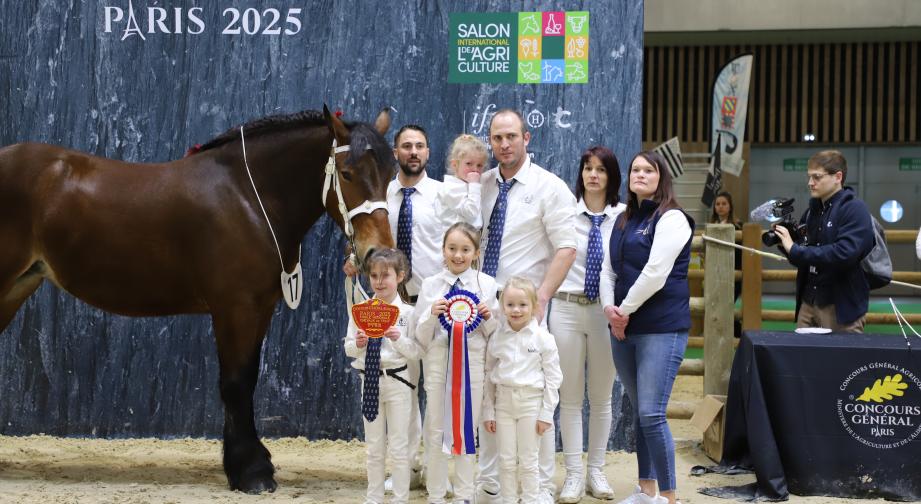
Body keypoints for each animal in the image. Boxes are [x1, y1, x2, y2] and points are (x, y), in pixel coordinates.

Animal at [0, 105, 392, 492]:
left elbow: (248, 378)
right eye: (347, 173)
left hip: (17, 286)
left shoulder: (260, 308)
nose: (378, 253)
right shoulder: (235, 308)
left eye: (390, 174)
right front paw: (252, 472)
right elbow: (236, 384)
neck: (248, 197)